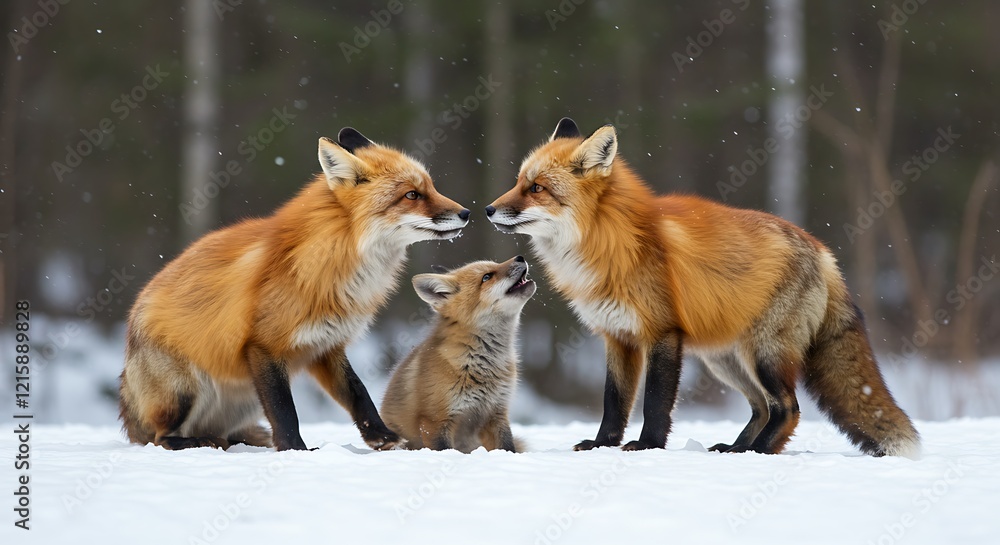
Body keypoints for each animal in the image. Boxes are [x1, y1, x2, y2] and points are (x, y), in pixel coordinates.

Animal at [118, 127, 470, 451]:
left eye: (431, 187)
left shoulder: (327, 345)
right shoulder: (263, 346)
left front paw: (381, 437)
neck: (333, 262)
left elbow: (358, 393)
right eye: (412, 195)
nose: (466, 212)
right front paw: (296, 450)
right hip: (188, 390)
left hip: (244, 397)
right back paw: (199, 442)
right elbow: (284, 410)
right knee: (161, 438)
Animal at [380, 256, 536, 452]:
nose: (520, 257)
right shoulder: (435, 421)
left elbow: (507, 447)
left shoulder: (496, 413)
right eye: (486, 277)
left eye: (495, 264)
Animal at [485, 117, 920, 457]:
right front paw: (603, 444)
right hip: (725, 359)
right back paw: (737, 448)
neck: (609, 242)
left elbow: (655, 403)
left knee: (787, 408)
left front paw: (647, 446)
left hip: (763, 354)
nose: (488, 209)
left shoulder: (662, 332)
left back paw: (758, 452)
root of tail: (823, 250)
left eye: (537, 188)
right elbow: (614, 402)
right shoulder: (617, 336)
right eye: (518, 182)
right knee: (762, 407)